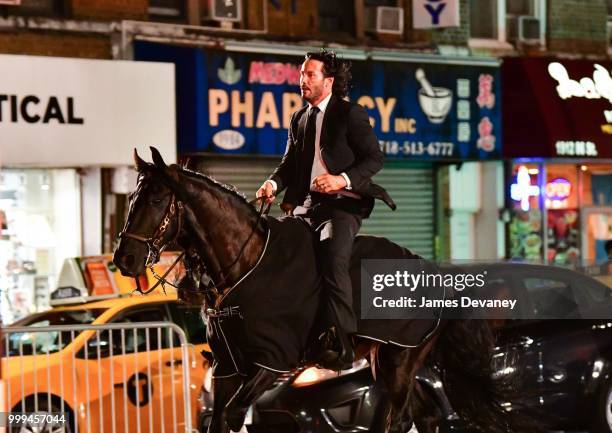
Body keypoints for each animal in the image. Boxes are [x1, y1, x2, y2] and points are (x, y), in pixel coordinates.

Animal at [113, 148, 540, 432]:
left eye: (155, 199)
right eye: (131, 198)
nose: (124, 260)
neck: (245, 262)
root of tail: (436, 272)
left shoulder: (273, 361)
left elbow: (236, 415)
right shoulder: (227, 366)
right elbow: (218, 421)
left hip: (400, 360)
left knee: (400, 419)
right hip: (389, 361)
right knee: (425, 416)